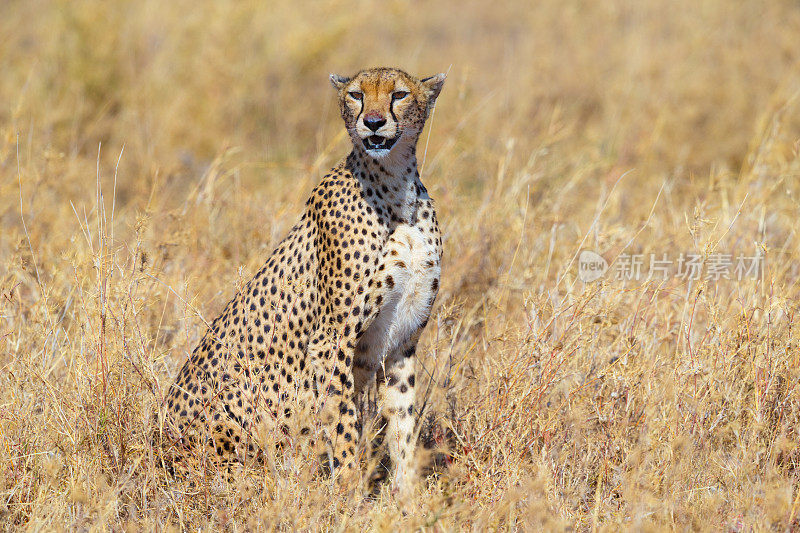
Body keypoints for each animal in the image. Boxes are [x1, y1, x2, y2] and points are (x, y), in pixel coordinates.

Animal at [163, 66, 446, 494]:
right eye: (357, 95)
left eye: (398, 94)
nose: (373, 122)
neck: (398, 189)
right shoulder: (331, 341)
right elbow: (344, 425)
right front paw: (351, 495)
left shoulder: (401, 340)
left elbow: (403, 430)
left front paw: (409, 499)